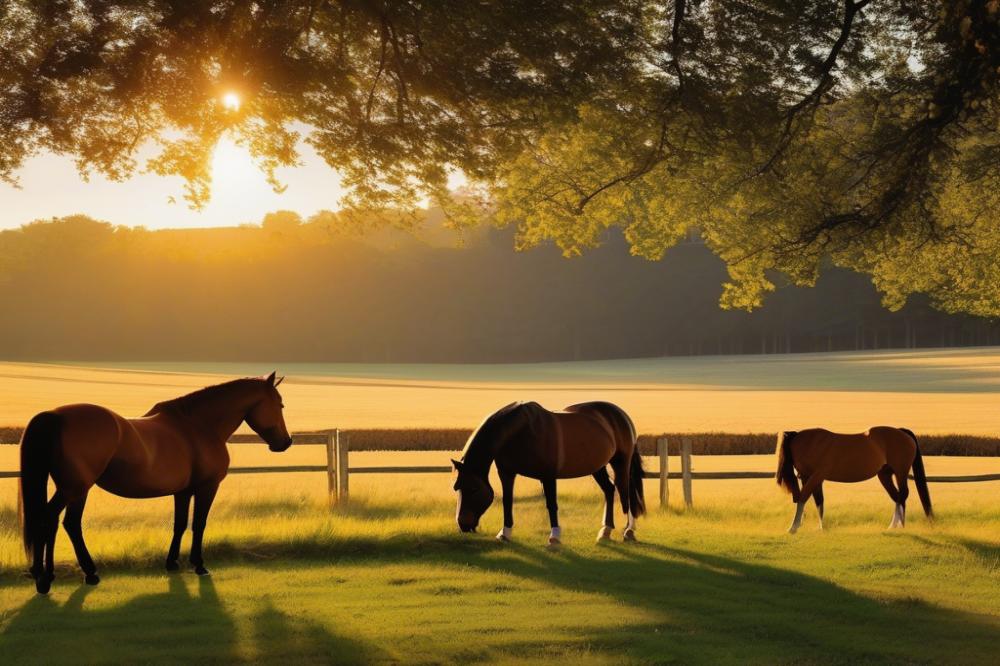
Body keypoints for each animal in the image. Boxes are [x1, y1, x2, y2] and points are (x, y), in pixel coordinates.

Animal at [19, 372, 292, 594]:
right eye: (279, 404)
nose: (285, 442)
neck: (197, 426)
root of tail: (54, 416)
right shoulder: (207, 487)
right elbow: (199, 524)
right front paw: (199, 565)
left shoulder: (183, 491)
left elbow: (180, 524)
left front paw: (172, 563)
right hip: (73, 489)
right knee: (49, 520)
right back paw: (46, 578)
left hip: (77, 489)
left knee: (67, 524)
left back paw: (82, 574)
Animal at [452, 401, 645, 545]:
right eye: (457, 488)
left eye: (474, 489)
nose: (462, 525)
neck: (520, 432)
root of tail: (621, 414)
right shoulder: (506, 473)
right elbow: (507, 501)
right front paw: (505, 533)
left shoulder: (548, 476)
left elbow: (552, 504)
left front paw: (554, 537)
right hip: (598, 467)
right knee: (609, 490)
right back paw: (605, 530)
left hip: (621, 463)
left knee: (626, 494)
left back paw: (628, 531)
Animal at [776, 426, 933, 533]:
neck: (813, 443)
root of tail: (902, 432)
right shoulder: (809, 477)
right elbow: (818, 500)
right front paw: (820, 527)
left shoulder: (817, 475)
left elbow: (804, 497)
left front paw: (793, 527)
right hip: (885, 474)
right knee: (897, 496)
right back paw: (893, 526)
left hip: (900, 472)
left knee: (903, 495)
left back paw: (900, 526)